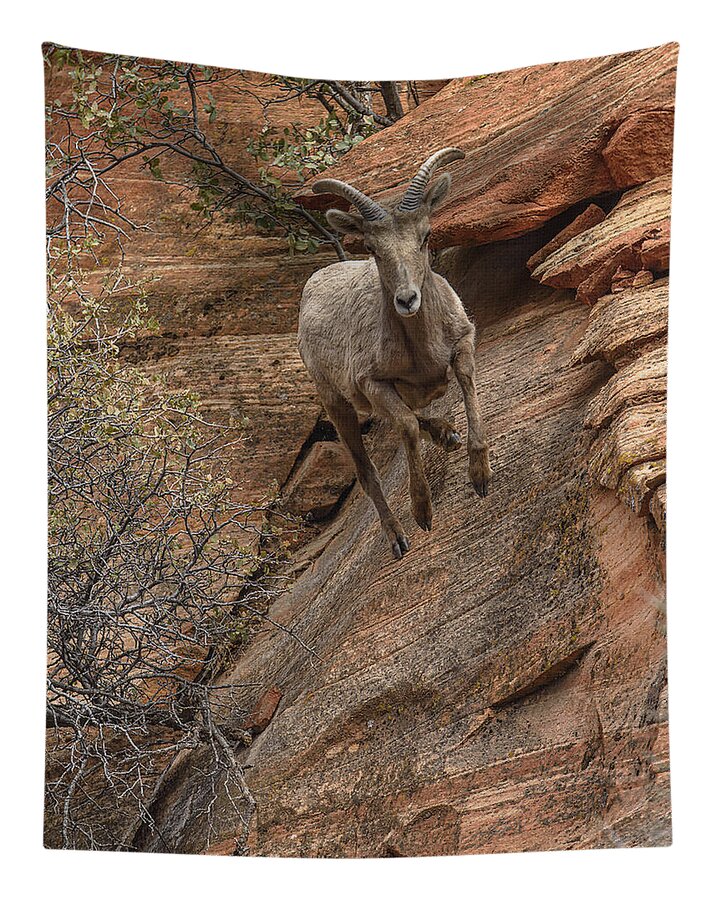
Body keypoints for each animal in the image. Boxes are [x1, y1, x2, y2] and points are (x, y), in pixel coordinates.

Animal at [297, 148, 492, 559]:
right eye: (372, 248)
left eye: (426, 235)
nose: (407, 300)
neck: (422, 350)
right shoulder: (373, 383)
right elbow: (405, 426)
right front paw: (423, 513)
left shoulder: (462, 342)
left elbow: (466, 383)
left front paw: (480, 475)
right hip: (336, 403)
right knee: (367, 470)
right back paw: (398, 539)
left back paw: (447, 435)